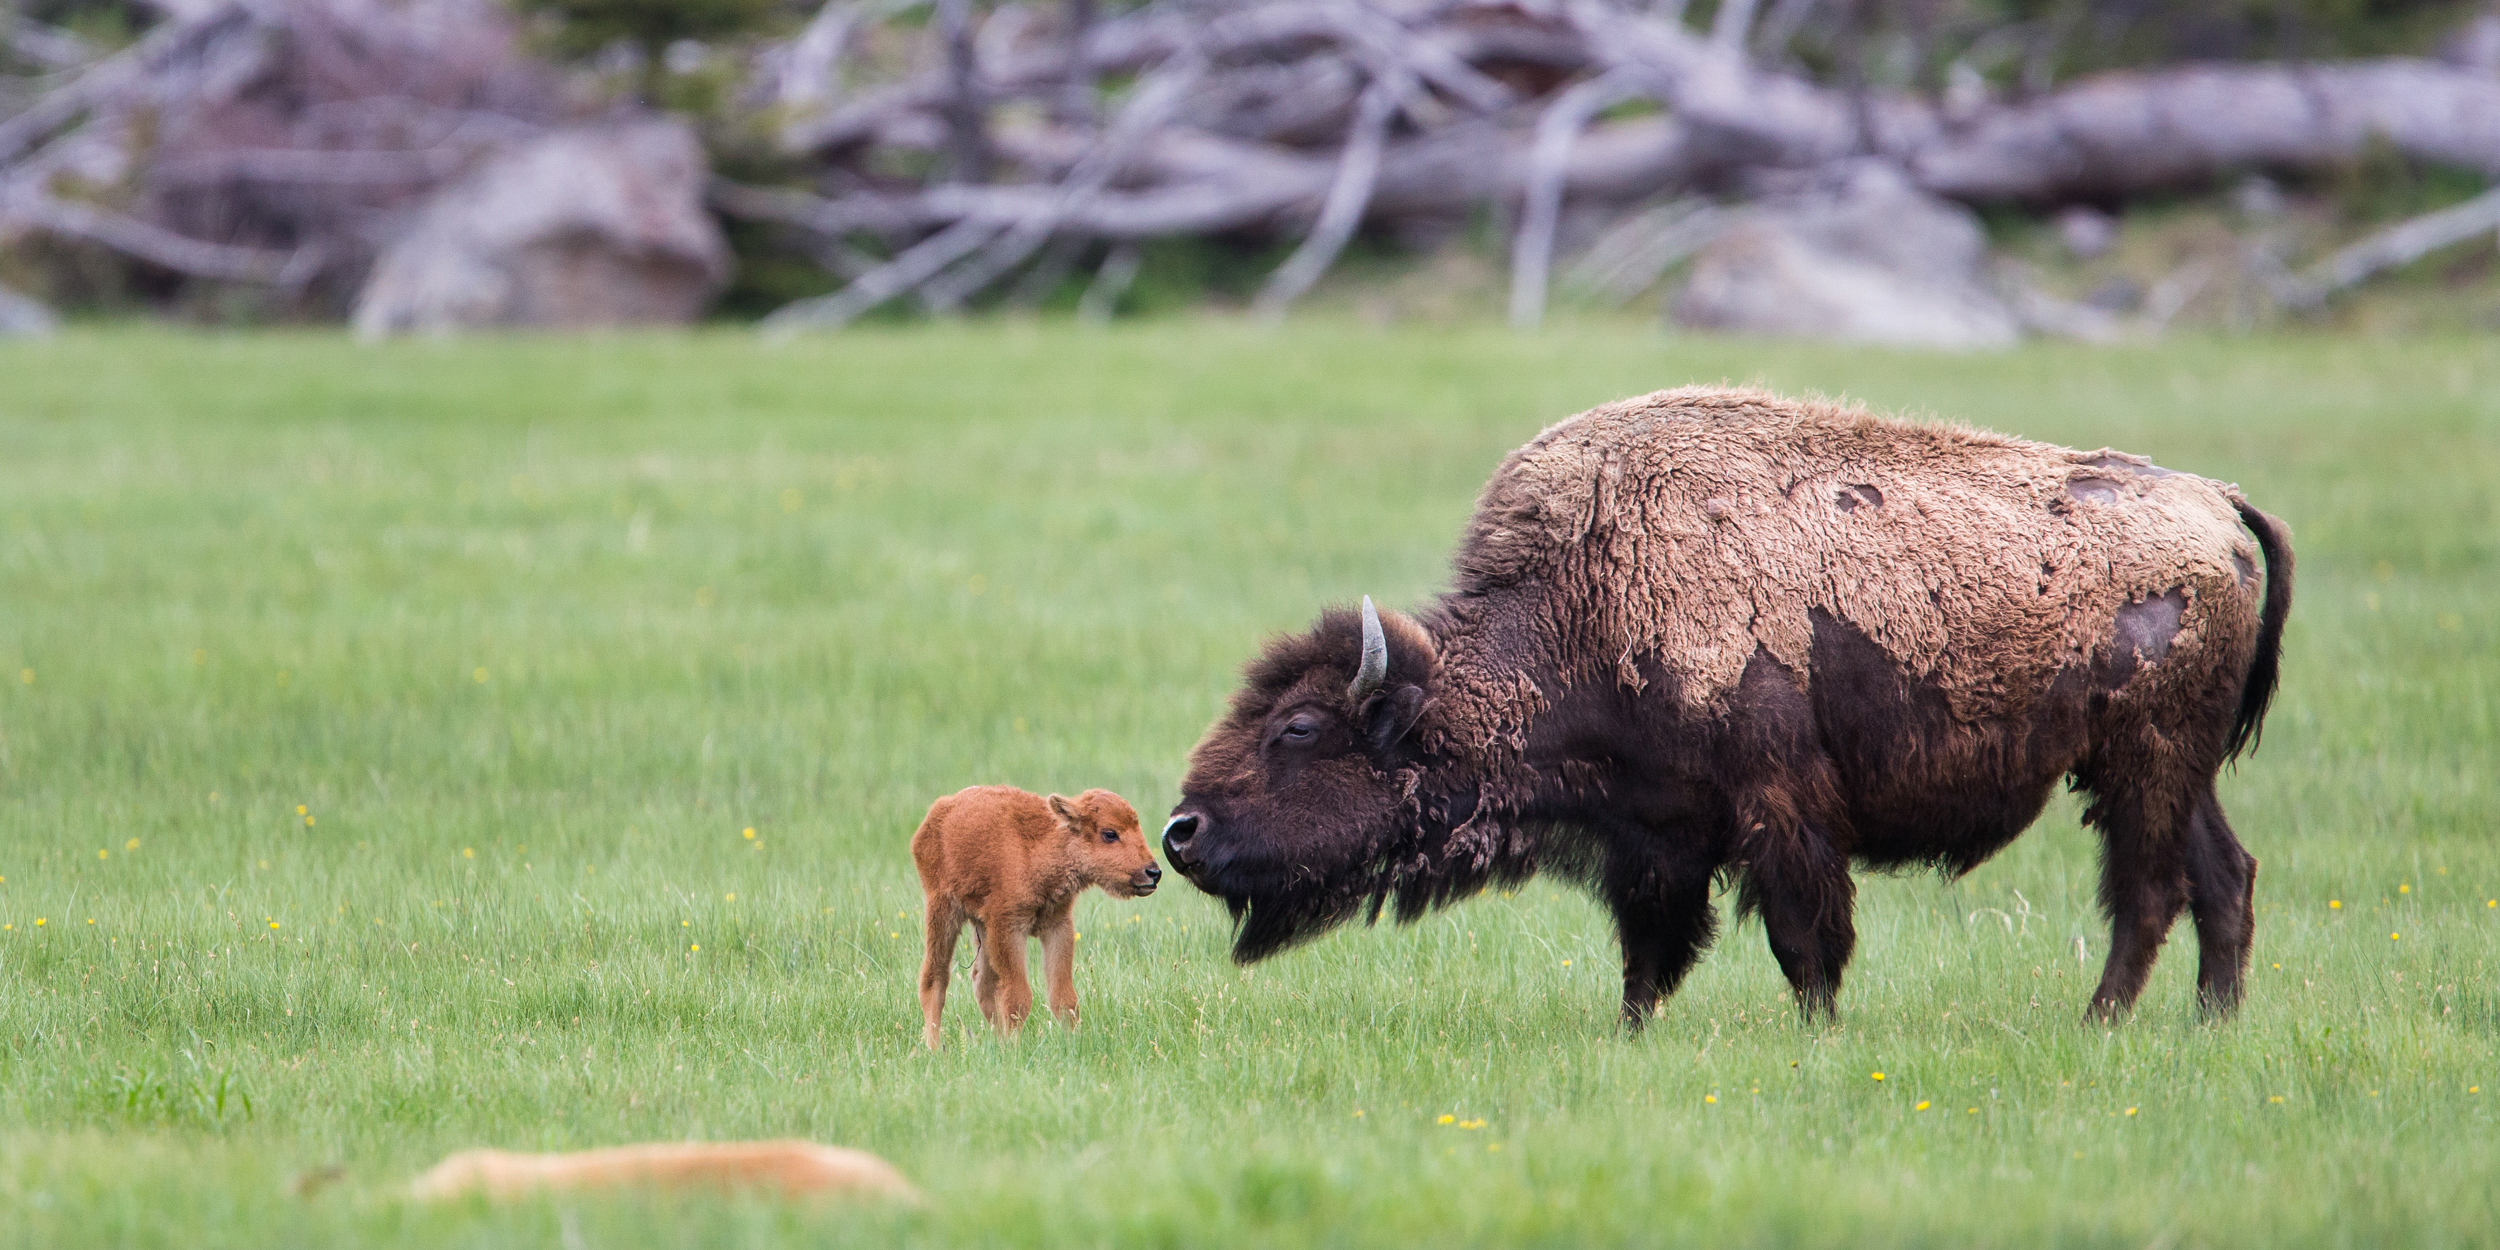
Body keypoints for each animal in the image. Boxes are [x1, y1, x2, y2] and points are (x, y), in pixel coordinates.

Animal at [910, 785, 1160, 1050]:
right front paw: (1015, 1048)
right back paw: (935, 1048)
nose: (1153, 872)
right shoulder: (1009, 928)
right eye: (1110, 833)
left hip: (981, 927)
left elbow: (1064, 998)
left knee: (983, 984)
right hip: (943, 911)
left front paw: (1071, 1043)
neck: (1038, 848)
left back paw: (996, 1041)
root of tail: (937, 813)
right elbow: (1019, 996)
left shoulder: (1057, 926)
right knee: (935, 978)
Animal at [1160, 387, 2290, 1025]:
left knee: (2149, 891)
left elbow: (1804, 941)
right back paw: (2211, 1024)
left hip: (2139, 761)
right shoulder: (1654, 836)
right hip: (2173, 770)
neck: (1586, 598)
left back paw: (2099, 1021)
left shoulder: (1780, 813)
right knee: (2222, 876)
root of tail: (2219, 501)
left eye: (1297, 729)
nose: (1180, 831)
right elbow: (1648, 955)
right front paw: (1630, 1033)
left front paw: (1817, 1035)